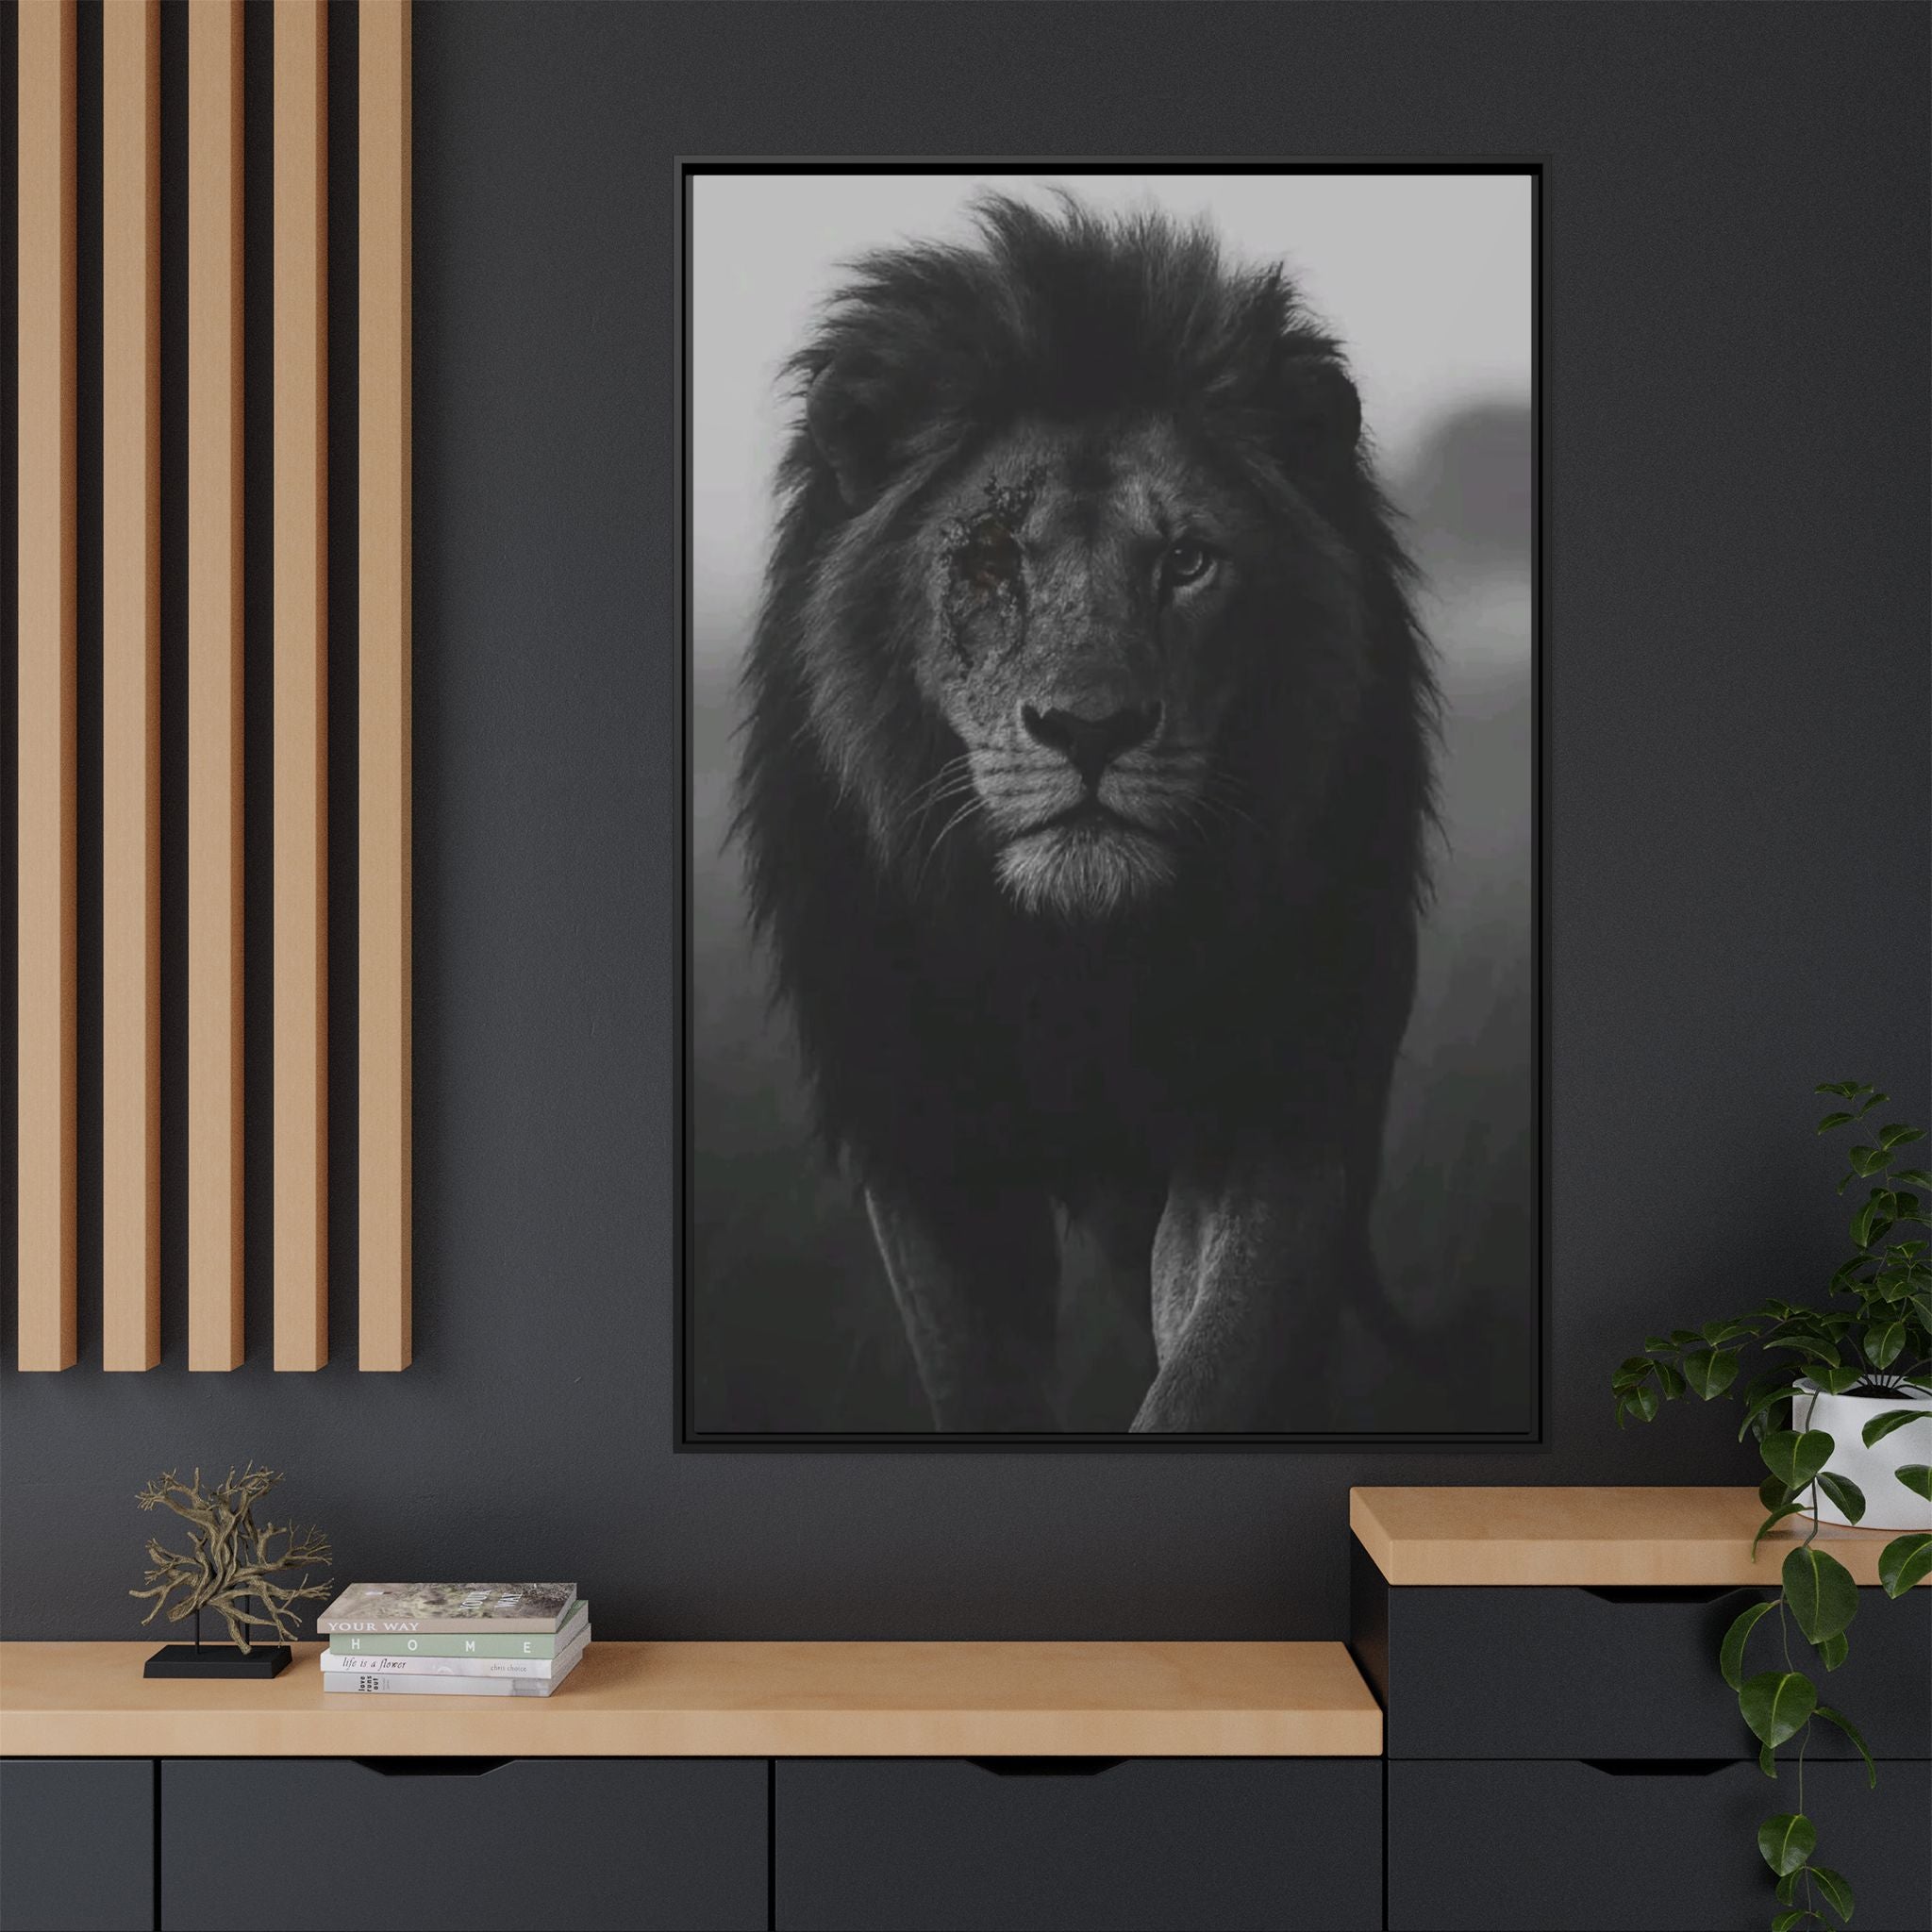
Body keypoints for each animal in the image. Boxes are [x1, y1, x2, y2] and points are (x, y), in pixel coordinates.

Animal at [732, 194, 1435, 1432]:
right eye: (989, 559)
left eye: (1187, 561)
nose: (1090, 728)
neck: (1077, 962)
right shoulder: (923, 1131)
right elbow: (975, 1379)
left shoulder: (1272, 1102)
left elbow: (1216, 1357)